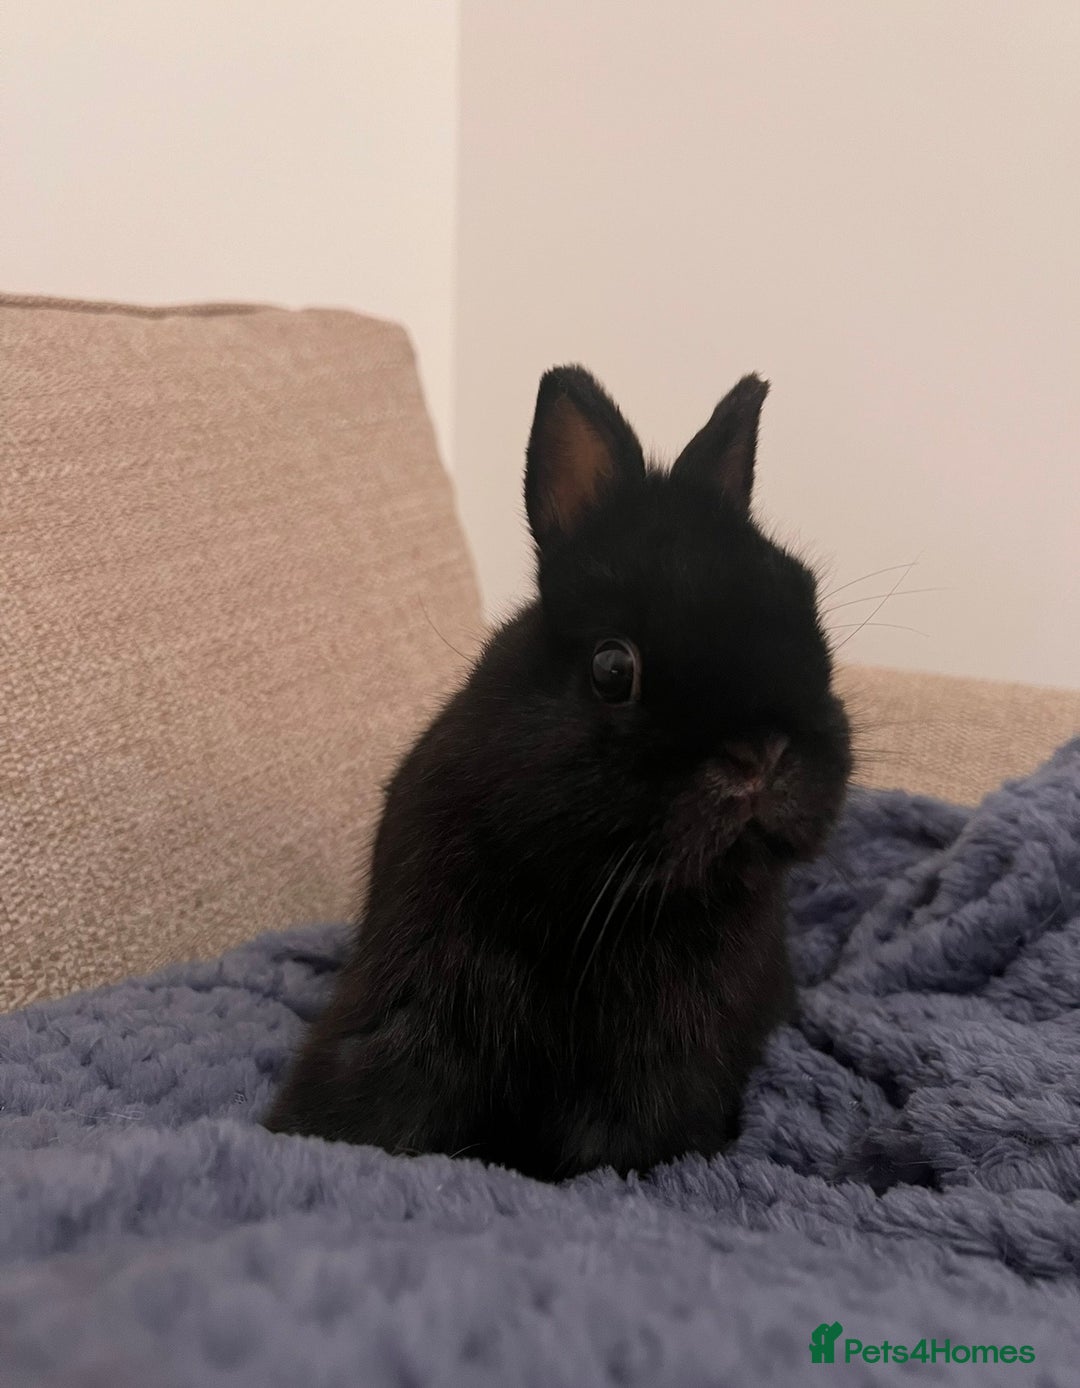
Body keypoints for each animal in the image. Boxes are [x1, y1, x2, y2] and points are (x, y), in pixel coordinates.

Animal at [264, 365, 852, 1181]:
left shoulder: (670, 1054)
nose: (762, 755)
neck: (599, 894)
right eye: (612, 667)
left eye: (804, 603)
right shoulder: (418, 1000)